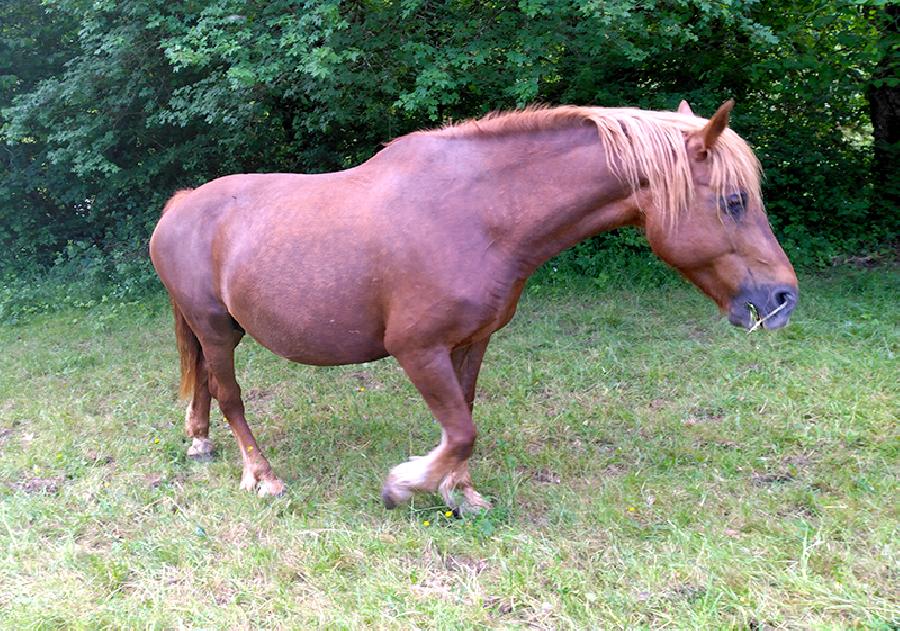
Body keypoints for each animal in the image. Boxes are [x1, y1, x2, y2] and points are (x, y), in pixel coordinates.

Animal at [149, 99, 798, 513]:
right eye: (735, 200)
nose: (782, 299)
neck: (478, 214)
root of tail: (180, 205)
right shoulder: (418, 349)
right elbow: (460, 430)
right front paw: (405, 484)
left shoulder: (471, 341)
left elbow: (463, 417)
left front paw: (457, 493)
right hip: (216, 327)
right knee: (230, 394)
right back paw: (262, 477)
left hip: (220, 329)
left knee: (204, 381)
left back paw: (200, 442)